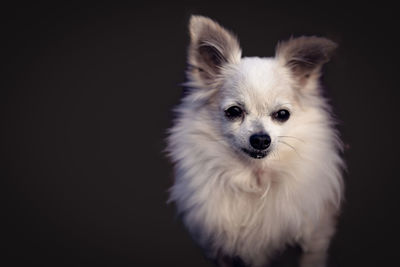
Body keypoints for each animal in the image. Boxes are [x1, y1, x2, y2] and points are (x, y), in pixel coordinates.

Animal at [167, 15, 346, 266]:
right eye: (234, 112)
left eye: (282, 115)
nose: (261, 139)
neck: (255, 177)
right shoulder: (218, 250)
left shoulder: (315, 240)